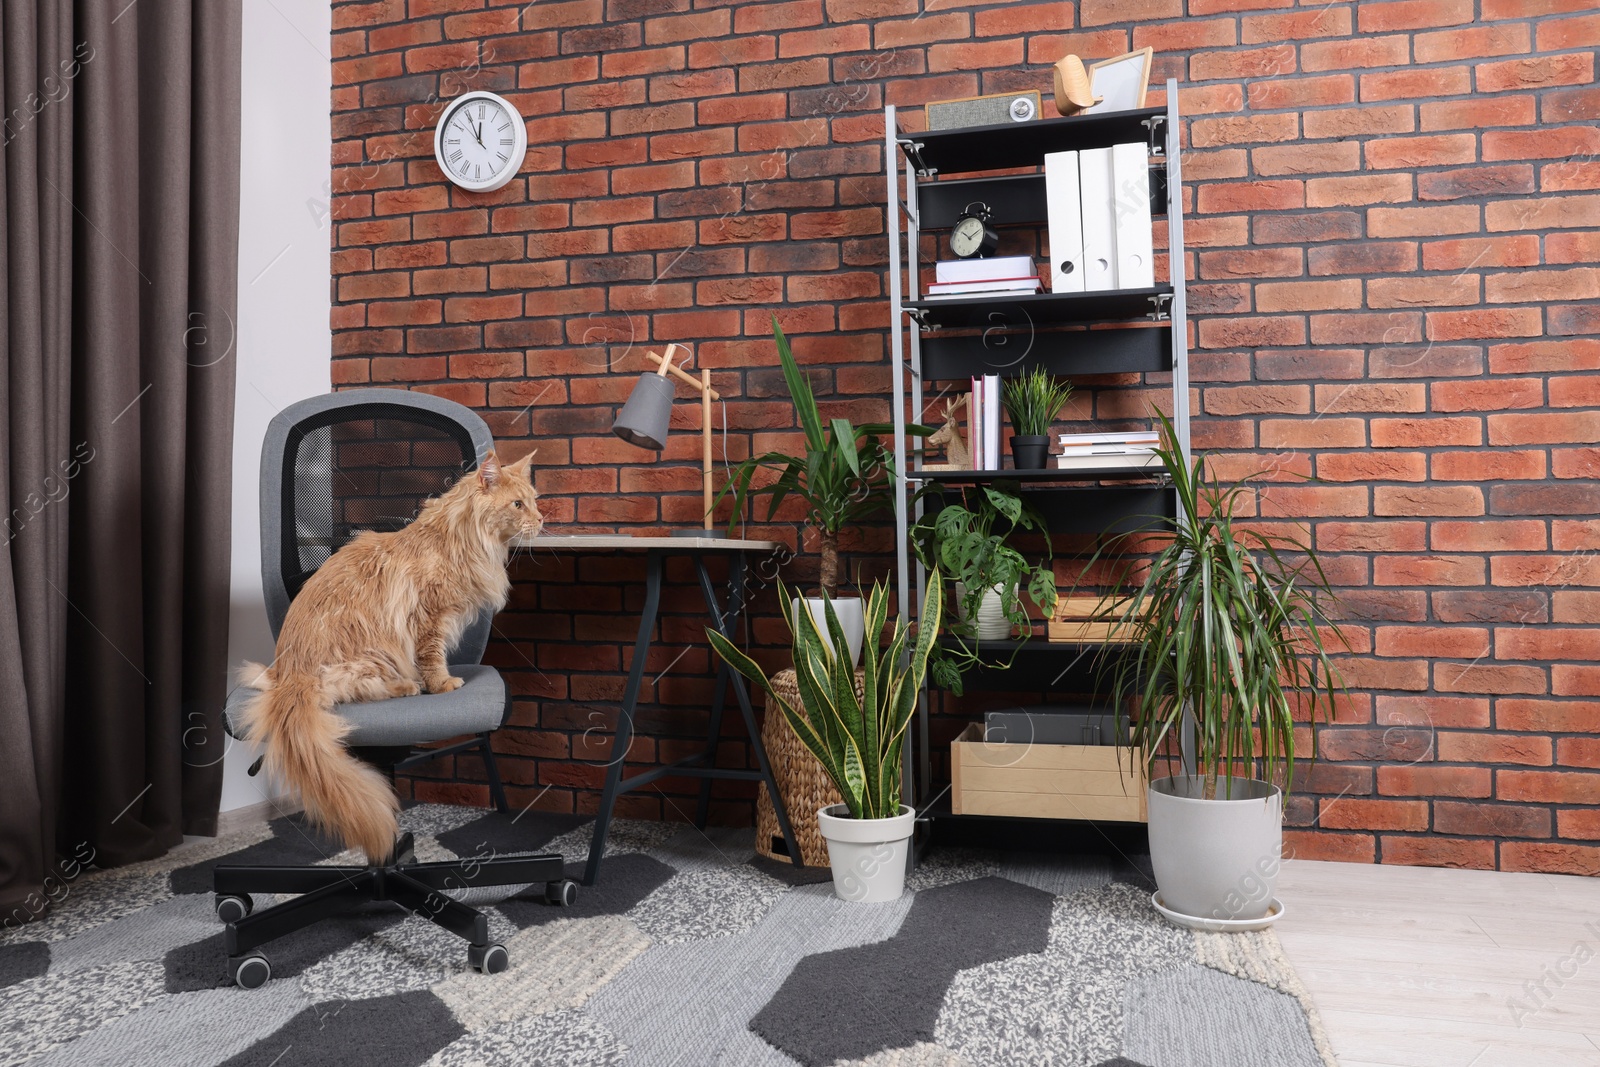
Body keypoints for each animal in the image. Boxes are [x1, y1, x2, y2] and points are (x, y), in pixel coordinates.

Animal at [233, 447, 540, 857]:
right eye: (518, 504)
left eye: (534, 501)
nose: (541, 519)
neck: (460, 540)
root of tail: (290, 677)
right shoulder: (429, 617)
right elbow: (432, 657)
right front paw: (442, 683)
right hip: (369, 656)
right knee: (354, 690)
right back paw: (408, 687)